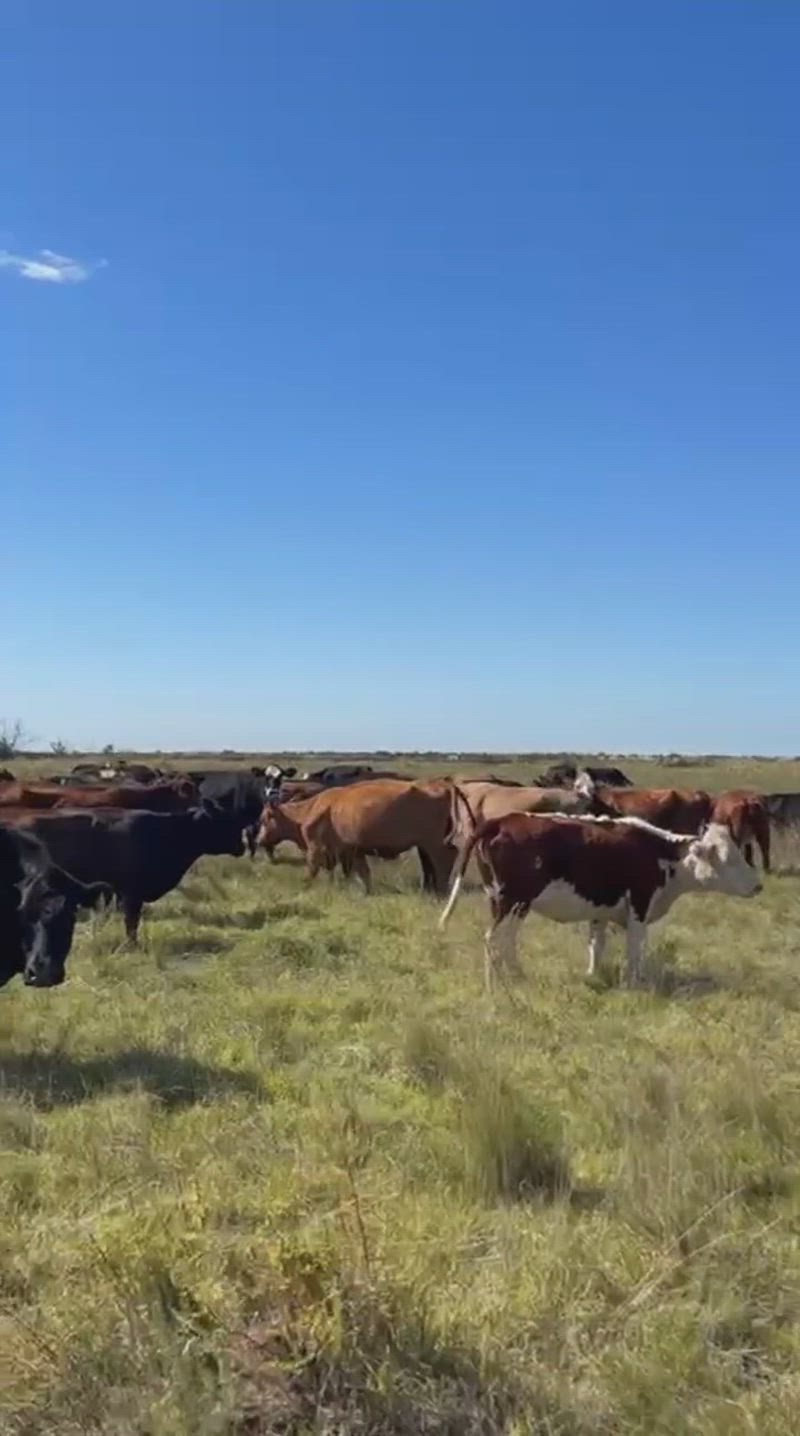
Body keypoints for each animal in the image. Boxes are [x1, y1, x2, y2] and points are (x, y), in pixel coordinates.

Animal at [10, 804, 245, 944]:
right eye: (223, 820)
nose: (242, 846)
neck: (167, 832)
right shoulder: (132, 892)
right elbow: (132, 920)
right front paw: (132, 945)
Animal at [257, 779, 470, 894]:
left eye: (265, 818)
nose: (259, 840)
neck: (310, 809)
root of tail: (444, 785)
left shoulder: (316, 849)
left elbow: (312, 870)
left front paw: (304, 888)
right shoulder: (353, 851)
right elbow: (361, 873)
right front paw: (364, 892)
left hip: (433, 844)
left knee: (443, 863)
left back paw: (440, 892)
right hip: (424, 846)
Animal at [439, 812, 761, 990]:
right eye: (729, 859)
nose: (758, 885)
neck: (662, 855)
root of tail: (502, 821)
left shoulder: (600, 912)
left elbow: (596, 946)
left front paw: (592, 976)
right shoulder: (639, 908)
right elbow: (635, 950)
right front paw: (635, 983)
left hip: (503, 901)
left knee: (504, 940)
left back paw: (516, 977)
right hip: (513, 901)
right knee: (494, 939)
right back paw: (497, 985)